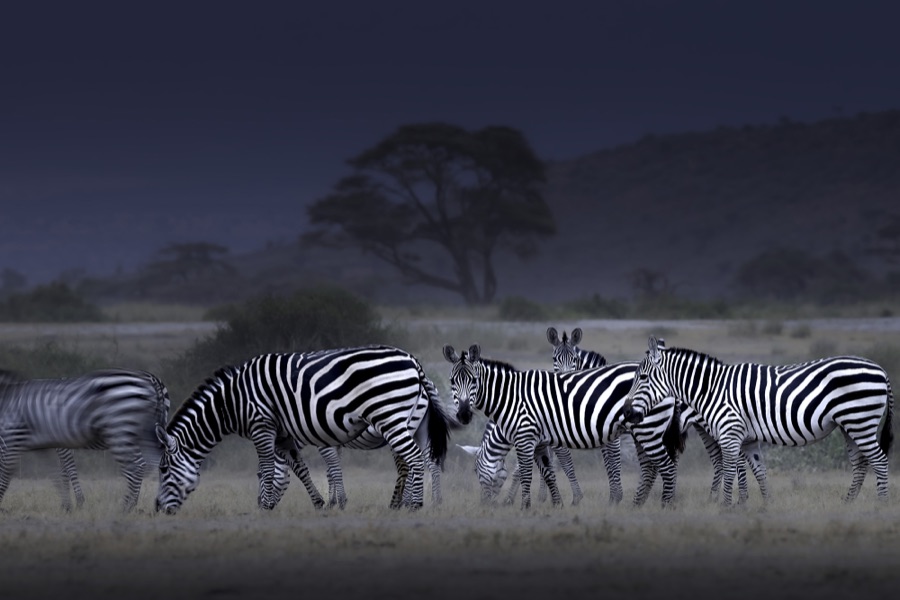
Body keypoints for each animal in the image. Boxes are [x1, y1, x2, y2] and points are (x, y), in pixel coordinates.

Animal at [0, 368, 170, 512]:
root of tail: (152, 379)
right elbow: (60, 470)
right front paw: (67, 504)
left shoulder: (60, 442)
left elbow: (68, 468)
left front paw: (77, 502)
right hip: (148, 432)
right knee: (158, 462)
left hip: (124, 432)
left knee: (139, 465)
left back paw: (129, 506)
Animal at [156, 345, 454, 514]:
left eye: (163, 470)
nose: (157, 510)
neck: (233, 401)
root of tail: (414, 361)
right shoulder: (284, 435)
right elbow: (299, 469)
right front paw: (321, 503)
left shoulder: (263, 425)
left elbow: (271, 468)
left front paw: (267, 506)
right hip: (413, 423)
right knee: (423, 461)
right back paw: (420, 503)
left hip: (392, 417)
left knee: (413, 460)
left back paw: (413, 505)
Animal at [443, 343, 682, 508]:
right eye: (452, 381)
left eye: (474, 380)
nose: (463, 415)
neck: (511, 397)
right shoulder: (540, 441)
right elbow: (547, 472)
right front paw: (556, 504)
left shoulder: (526, 437)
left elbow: (527, 472)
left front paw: (523, 506)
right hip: (641, 430)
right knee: (650, 468)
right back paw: (636, 505)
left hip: (648, 429)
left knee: (666, 467)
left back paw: (665, 506)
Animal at [623, 336, 894, 504]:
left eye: (642, 377)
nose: (626, 413)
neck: (712, 389)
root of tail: (881, 369)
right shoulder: (748, 439)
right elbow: (759, 472)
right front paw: (764, 506)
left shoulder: (730, 434)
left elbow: (730, 471)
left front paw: (725, 507)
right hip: (850, 426)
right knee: (860, 464)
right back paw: (848, 503)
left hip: (861, 422)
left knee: (880, 461)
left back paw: (880, 504)